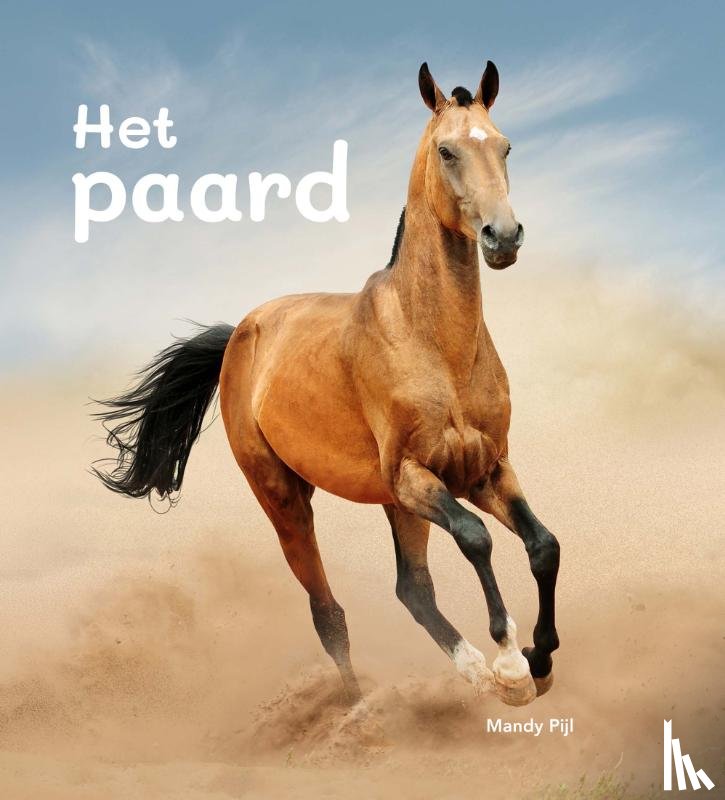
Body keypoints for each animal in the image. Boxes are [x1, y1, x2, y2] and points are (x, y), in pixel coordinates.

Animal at [94, 60, 560, 708]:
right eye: (446, 151)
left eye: (504, 145)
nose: (504, 237)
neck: (436, 345)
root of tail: (241, 332)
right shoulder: (417, 476)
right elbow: (476, 539)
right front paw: (512, 664)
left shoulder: (486, 468)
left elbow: (543, 546)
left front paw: (539, 660)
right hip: (287, 499)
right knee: (328, 612)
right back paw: (360, 706)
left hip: (393, 502)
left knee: (412, 589)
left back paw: (467, 671)